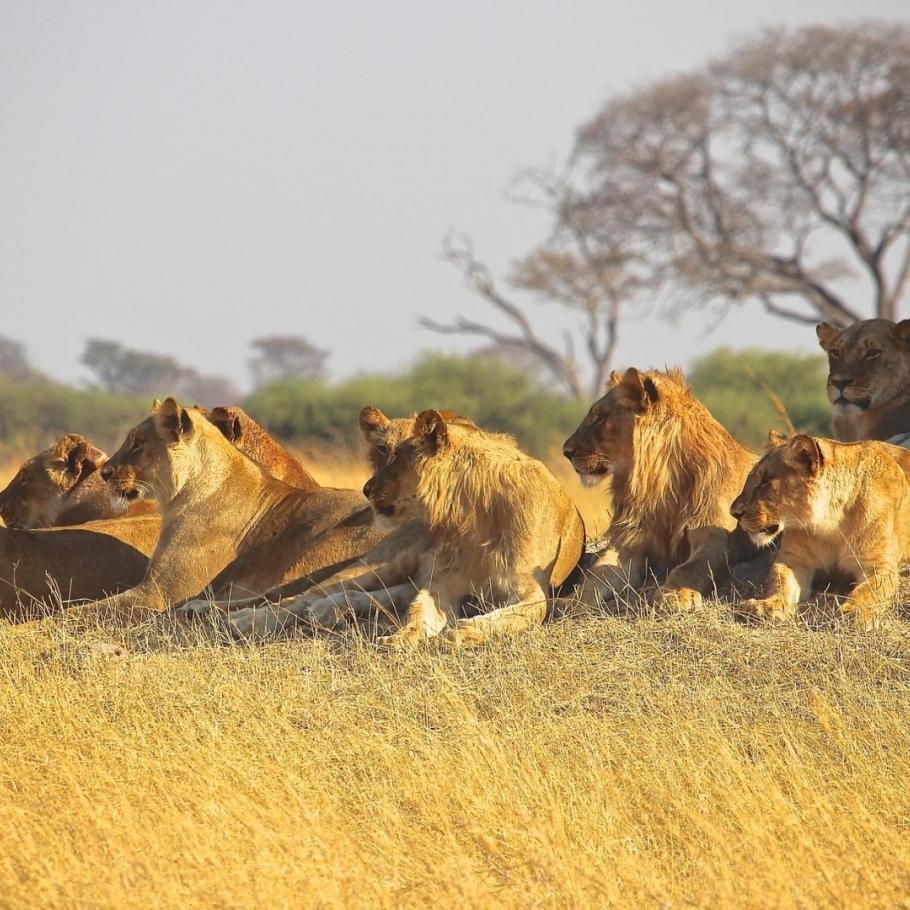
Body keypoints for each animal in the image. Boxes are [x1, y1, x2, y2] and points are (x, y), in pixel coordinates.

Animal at [564, 366, 764, 612]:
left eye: (600, 417)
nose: (566, 451)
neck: (660, 486)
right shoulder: (628, 543)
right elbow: (596, 575)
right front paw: (571, 602)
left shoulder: (716, 540)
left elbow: (689, 569)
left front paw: (674, 595)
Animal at [732, 432, 910, 632]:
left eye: (766, 482)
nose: (734, 512)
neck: (831, 524)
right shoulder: (794, 559)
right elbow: (779, 581)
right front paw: (767, 605)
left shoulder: (879, 565)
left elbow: (869, 591)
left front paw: (854, 613)